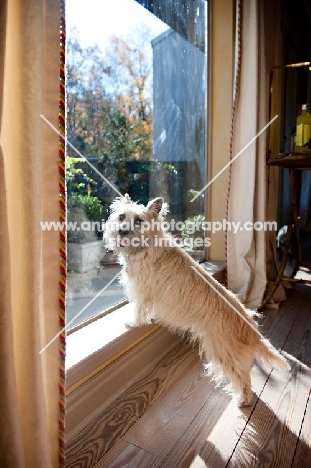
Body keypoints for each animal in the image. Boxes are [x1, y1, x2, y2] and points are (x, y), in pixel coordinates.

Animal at [104, 194, 290, 406]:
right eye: (121, 217)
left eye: (138, 221)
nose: (122, 230)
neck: (146, 246)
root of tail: (249, 326)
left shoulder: (142, 291)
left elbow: (138, 309)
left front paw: (133, 323)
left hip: (222, 350)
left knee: (242, 377)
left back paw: (242, 400)